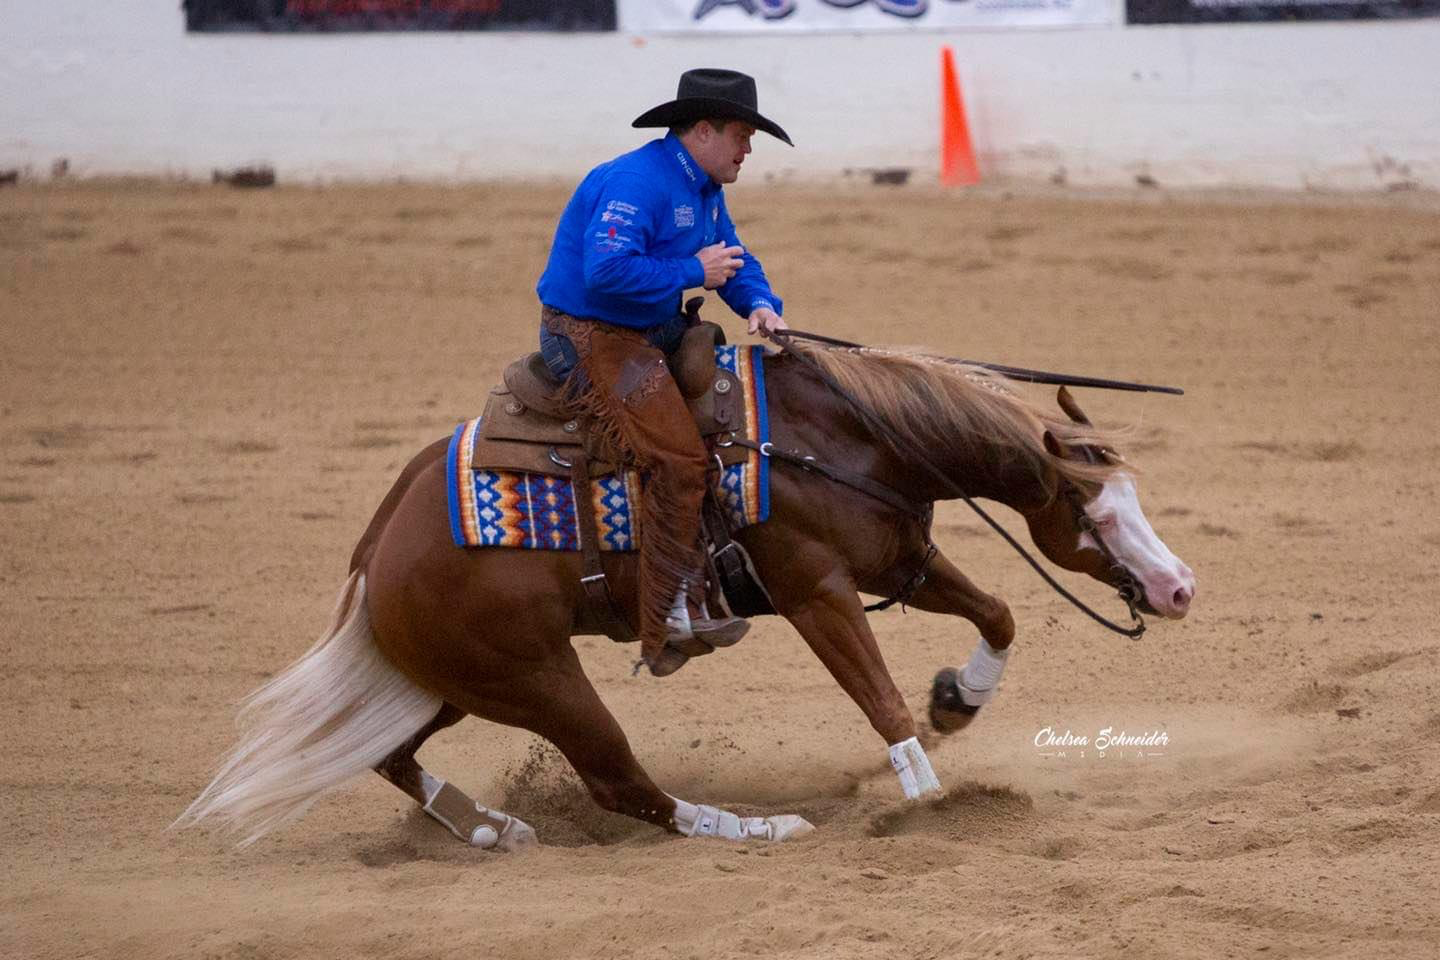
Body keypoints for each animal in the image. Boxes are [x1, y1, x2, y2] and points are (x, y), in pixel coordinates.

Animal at [178, 342, 1195, 848]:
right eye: (1094, 509)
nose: (1179, 588)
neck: (844, 438)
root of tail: (377, 545)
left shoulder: (896, 561)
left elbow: (999, 614)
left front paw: (960, 700)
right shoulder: (814, 591)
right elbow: (879, 699)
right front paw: (930, 797)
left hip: (454, 682)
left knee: (392, 756)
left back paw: (491, 828)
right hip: (538, 681)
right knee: (618, 780)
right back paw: (752, 828)